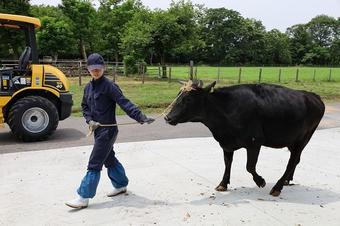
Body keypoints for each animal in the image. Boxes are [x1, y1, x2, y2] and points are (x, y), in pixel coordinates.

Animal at [166, 81, 326, 196]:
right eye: (178, 95)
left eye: (188, 99)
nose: (167, 117)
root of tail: (313, 96)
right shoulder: (226, 143)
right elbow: (227, 163)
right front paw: (222, 184)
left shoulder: (255, 141)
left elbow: (250, 166)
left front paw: (260, 181)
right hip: (292, 141)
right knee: (296, 160)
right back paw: (286, 180)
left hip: (303, 138)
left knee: (292, 161)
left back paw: (277, 187)